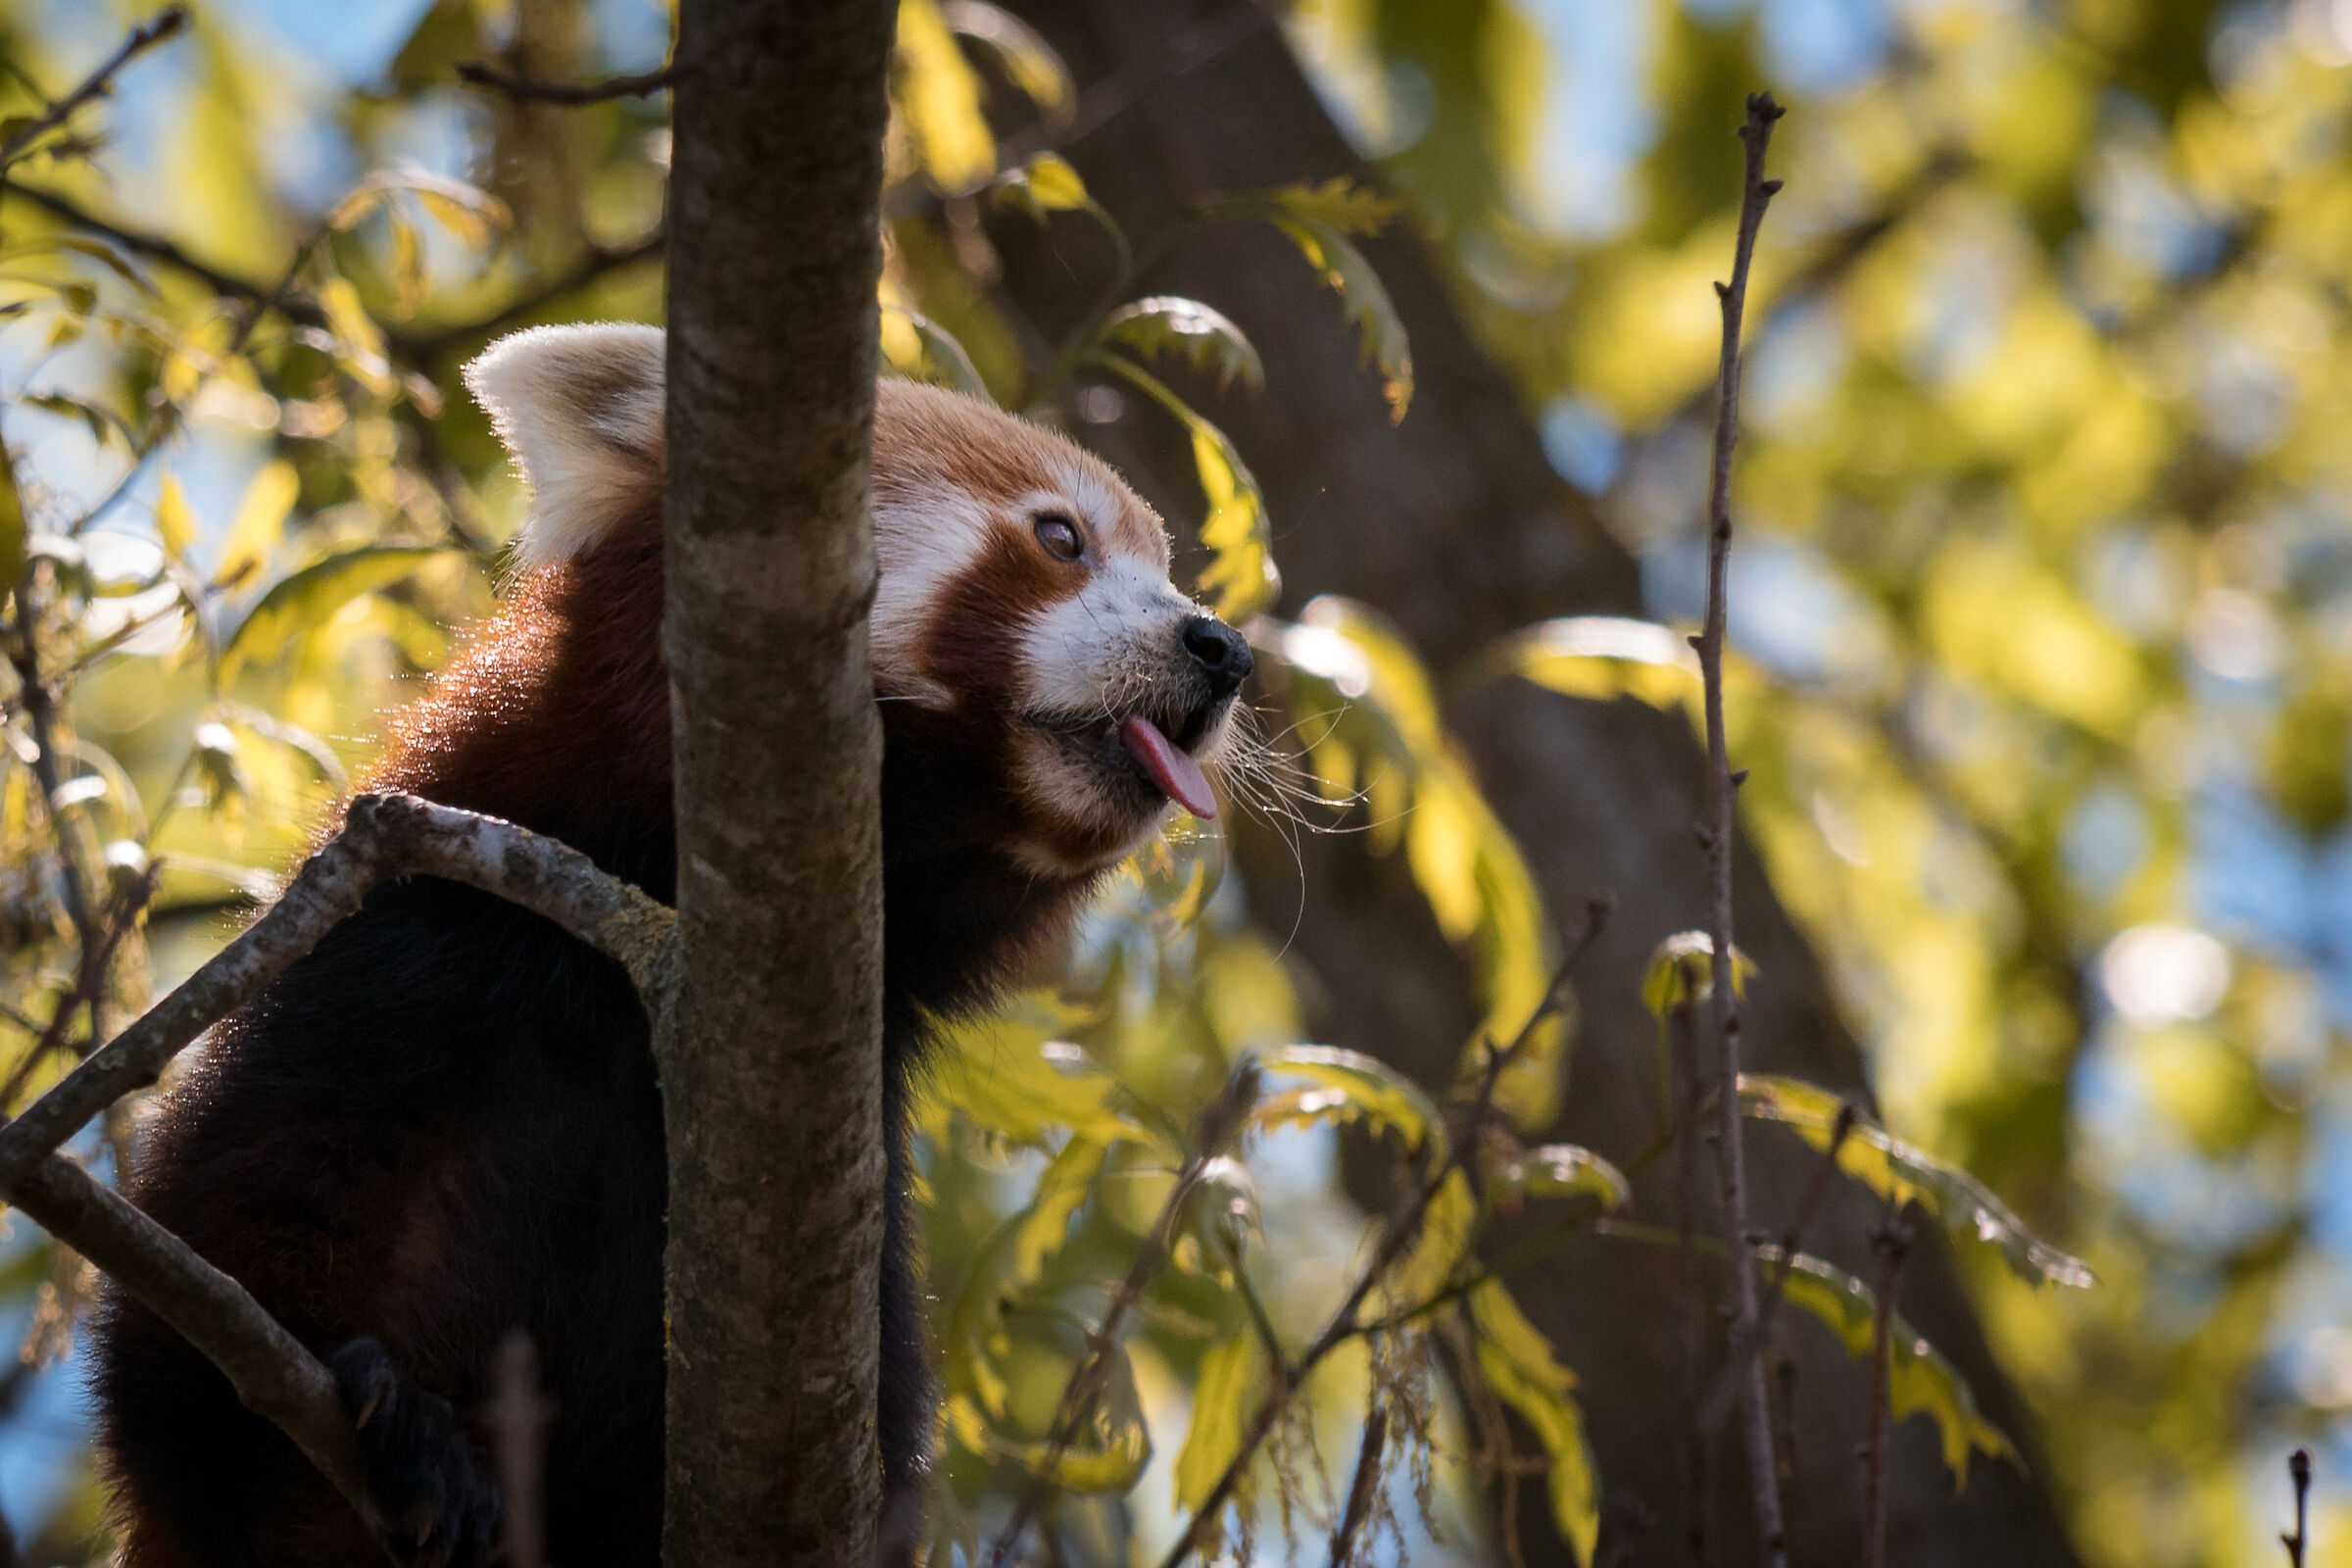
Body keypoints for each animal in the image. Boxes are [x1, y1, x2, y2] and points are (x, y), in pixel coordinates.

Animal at [91, 323, 1254, 1568]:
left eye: (1164, 566)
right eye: (1059, 538)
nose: (1224, 647)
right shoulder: (406, 946)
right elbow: (217, 1274)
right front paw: (396, 1425)